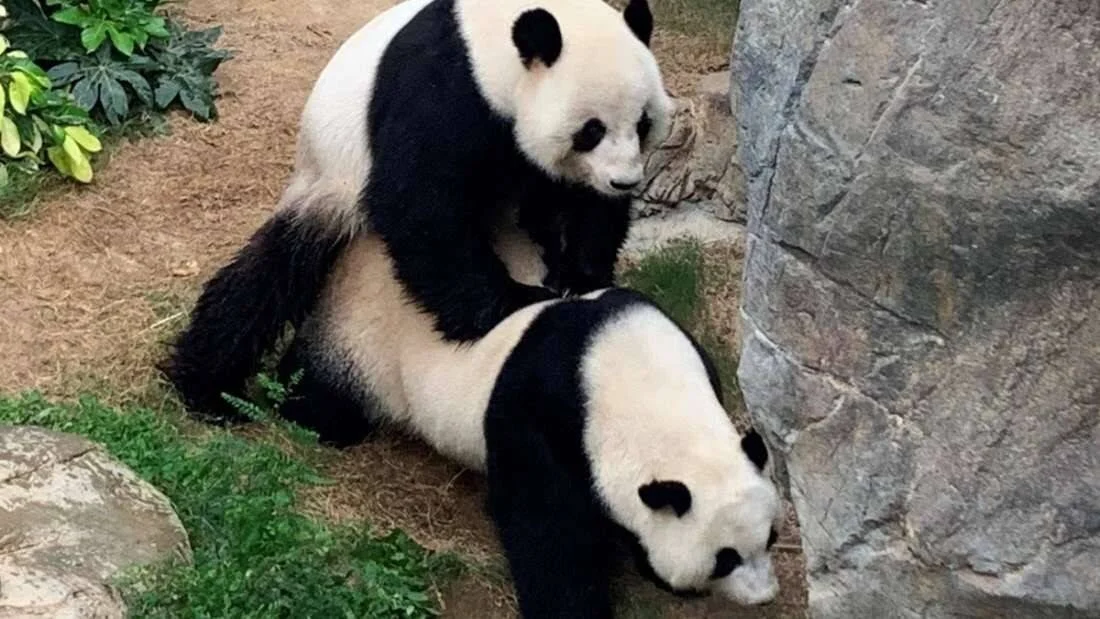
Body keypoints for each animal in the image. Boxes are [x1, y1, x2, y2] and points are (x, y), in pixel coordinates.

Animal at [161, 0, 674, 420]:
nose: (624, 181)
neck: (493, 47)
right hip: (328, 180)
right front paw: (510, 301)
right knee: (268, 278)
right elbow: (418, 202)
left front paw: (581, 275)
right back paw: (208, 389)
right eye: (591, 130)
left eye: (643, 123)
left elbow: (579, 204)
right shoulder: (443, 88)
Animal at [273, 224, 783, 617]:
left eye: (771, 537)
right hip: (362, 341)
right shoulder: (542, 414)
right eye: (725, 559)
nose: (764, 596)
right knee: (324, 395)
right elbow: (545, 529)